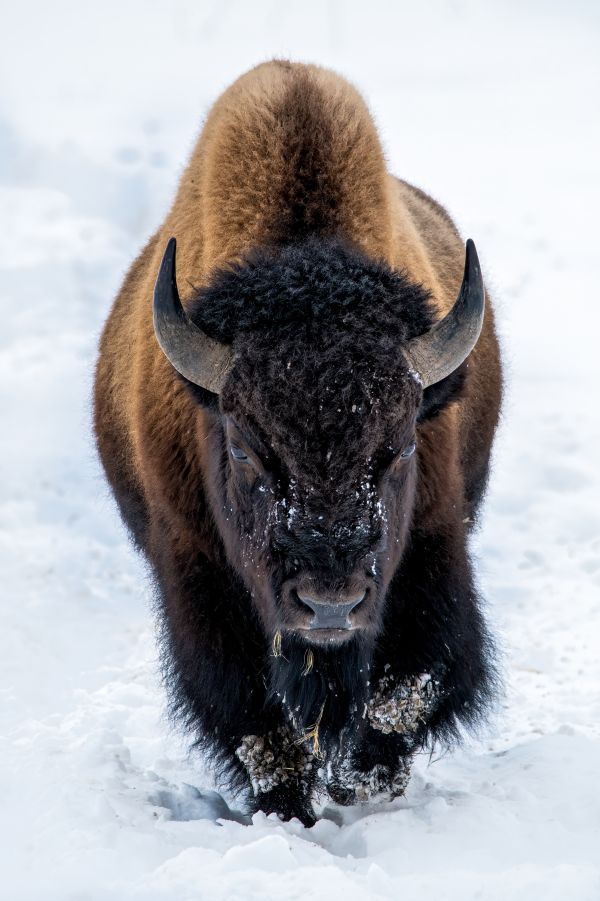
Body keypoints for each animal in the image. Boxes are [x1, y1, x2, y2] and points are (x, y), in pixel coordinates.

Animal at [96, 59, 504, 828]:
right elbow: (260, 727)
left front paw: (360, 787)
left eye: (401, 447)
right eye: (245, 449)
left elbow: (407, 693)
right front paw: (289, 812)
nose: (330, 603)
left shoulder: (432, 552)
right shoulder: (200, 579)